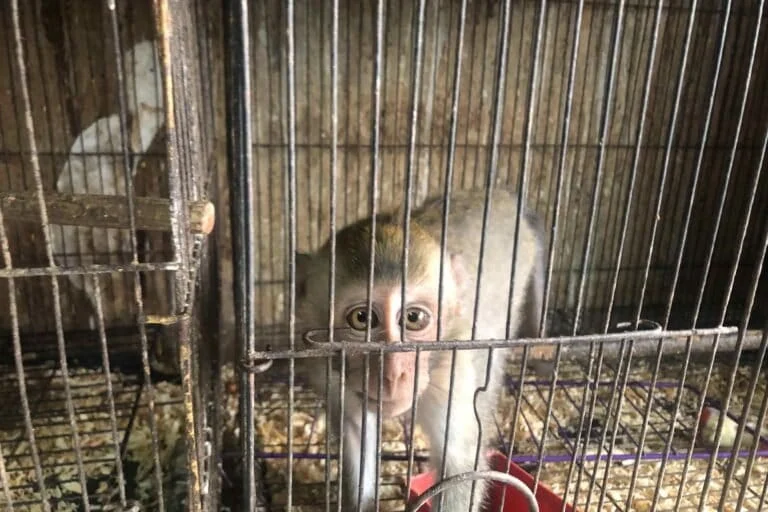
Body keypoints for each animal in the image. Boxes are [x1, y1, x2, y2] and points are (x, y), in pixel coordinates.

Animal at [294, 188, 545, 512]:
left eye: (413, 318)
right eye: (362, 318)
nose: (393, 374)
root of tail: (502, 193)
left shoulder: (451, 374)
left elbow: (459, 467)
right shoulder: (330, 372)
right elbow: (356, 434)